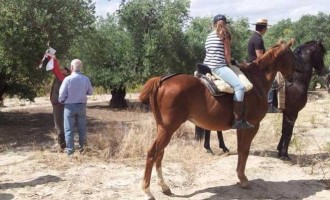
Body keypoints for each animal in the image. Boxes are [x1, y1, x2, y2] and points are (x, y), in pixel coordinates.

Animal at [139, 39, 294, 200]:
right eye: (293, 57)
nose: (292, 78)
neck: (257, 81)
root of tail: (162, 81)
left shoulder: (242, 127)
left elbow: (241, 149)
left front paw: (240, 176)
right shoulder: (253, 126)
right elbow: (245, 150)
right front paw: (244, 180)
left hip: (163, 128)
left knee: (160, 153)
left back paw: (164, 186)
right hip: (168, 129)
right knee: (152, 153)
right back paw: (147, 191)